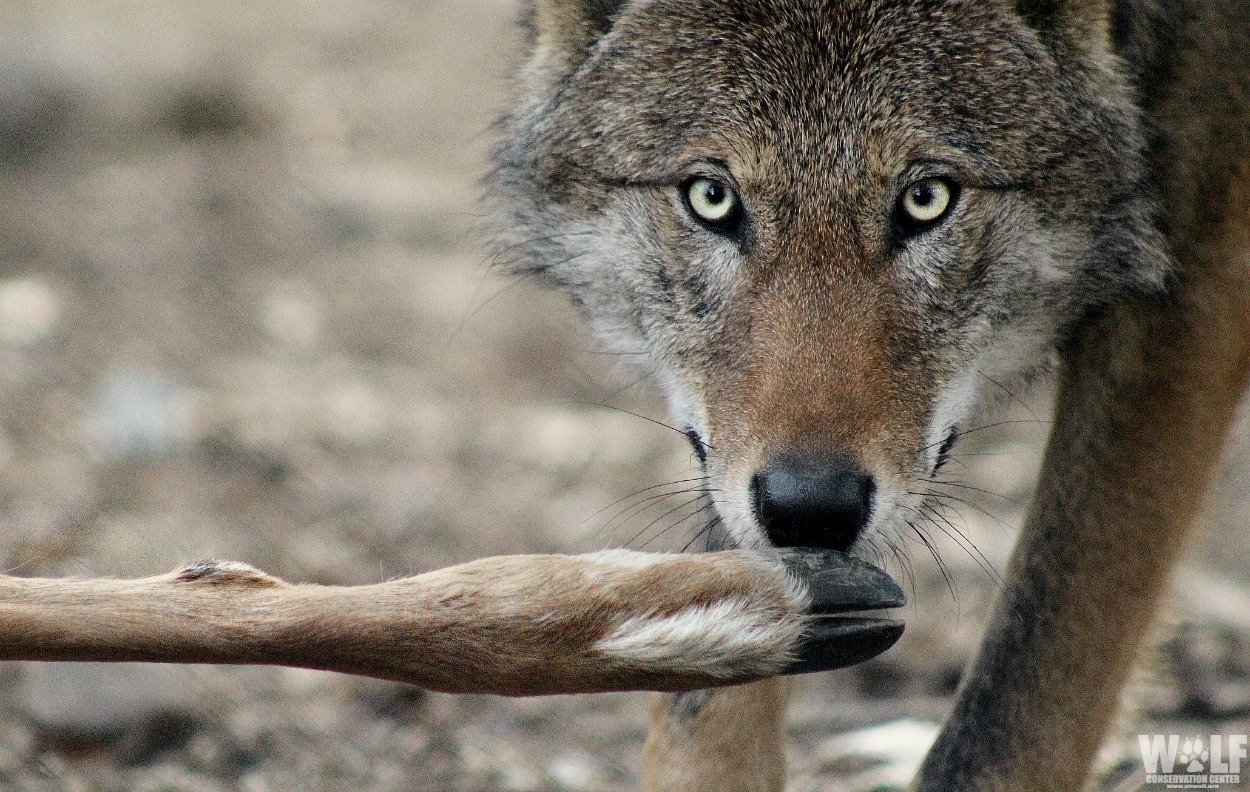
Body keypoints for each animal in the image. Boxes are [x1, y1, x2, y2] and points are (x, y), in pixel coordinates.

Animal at [492, 0, 1250, 789]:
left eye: (926, 199)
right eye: (711, 197)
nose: (811, 510)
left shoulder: (1196, 257)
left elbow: (1010, 715)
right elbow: (704, 696)